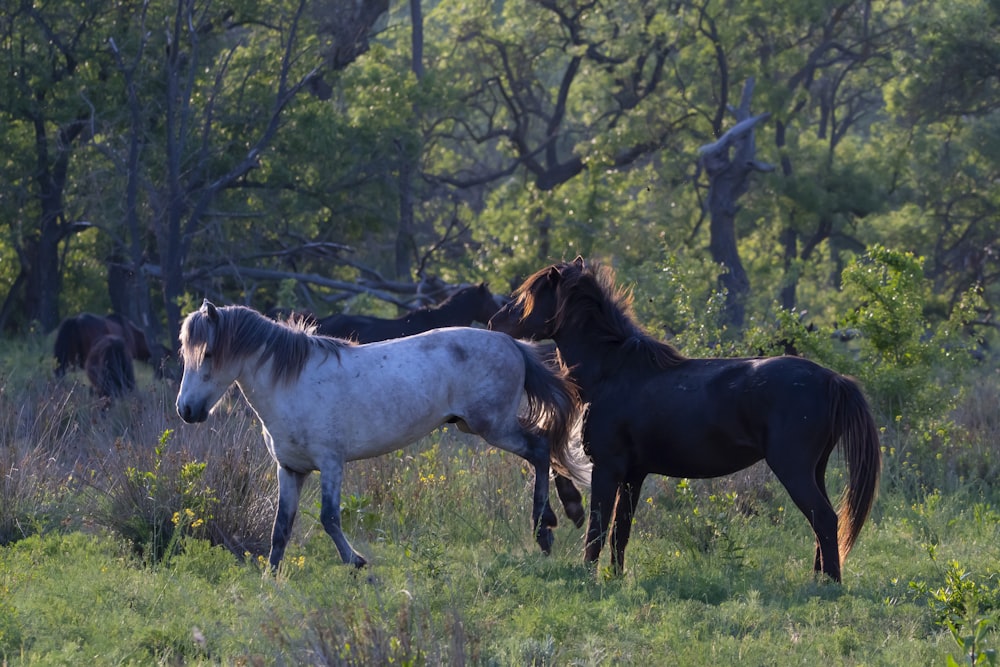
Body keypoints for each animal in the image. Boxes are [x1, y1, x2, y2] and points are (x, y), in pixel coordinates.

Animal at [177, 302, 588, 568]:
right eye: (185, 352)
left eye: (209, 353)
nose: (187, 410)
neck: (292, 386)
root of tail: (511, 343)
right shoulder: (290, 469)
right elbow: (281, 528)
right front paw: (270, 580)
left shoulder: (331, 463)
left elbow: (329, 518)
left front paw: (357, 563)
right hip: (478, 425)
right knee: (544, 450)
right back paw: (559, 518)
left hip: (494, 426)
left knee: (540, 448)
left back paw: (546, 528)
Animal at [492, 258, 884, 580]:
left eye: (530, 294)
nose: (495, 322)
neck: (614, 372)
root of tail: (833, 379)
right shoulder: (633, 474)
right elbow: (620, 531)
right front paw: (615, 579)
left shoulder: (607, 469)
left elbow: (597, 530)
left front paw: (590, 577)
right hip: (813, 469)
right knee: (824, 522)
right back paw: (819, 578)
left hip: (794, 469)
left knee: (825, 519)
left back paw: (829, 584)